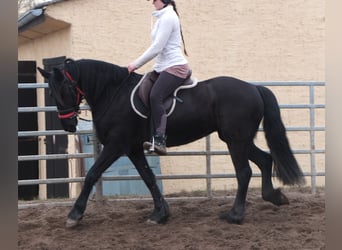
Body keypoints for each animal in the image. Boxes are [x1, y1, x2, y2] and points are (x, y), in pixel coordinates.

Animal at [38, 58, 304, 229]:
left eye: (66, 89)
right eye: (51, 93)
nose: (68, 125)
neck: (113, 94)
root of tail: (254, 88)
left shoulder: (116, 145)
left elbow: (92, 174)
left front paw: (74, 215)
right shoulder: (133, 148)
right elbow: (148, 177)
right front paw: (160, 214)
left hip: (236, 141)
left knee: (244, 172)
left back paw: (235, 215)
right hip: (239, 139)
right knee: (265, 160)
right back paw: (274, 196)